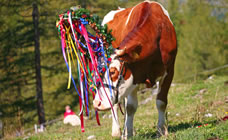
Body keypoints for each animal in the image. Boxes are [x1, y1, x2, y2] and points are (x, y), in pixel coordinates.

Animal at [93, 0, 178, 138]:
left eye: (113, 71)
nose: (97, 103)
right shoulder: (134, 77)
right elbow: (131, 107)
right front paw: (127, 134)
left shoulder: (169, 71)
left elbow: (161, 102)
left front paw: (161, 130)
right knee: (116, 105)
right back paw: (117, 131)